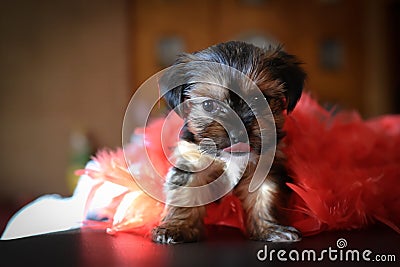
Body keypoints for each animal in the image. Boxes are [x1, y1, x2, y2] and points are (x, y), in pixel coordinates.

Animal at [152, 40, 304, 244]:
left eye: (259, 99)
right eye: (208, 105)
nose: (238, 131)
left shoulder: (267, 165)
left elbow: (265, 196)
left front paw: (271, 229)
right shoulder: (193, 159)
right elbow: (186, 193)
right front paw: (175, 228)